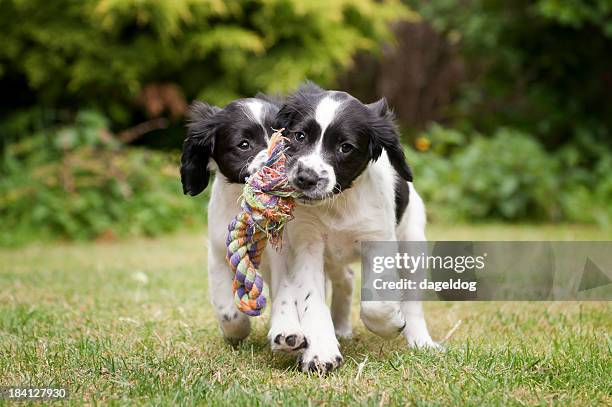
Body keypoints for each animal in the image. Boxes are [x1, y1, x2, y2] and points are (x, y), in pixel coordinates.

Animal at [270, 83, 438, 372]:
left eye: (345, 147)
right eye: (299, 135)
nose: (305, 178)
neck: (338, 203)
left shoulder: (378, 241)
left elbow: (374, 301)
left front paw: (391, 322)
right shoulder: (307, 243)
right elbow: (312, 300)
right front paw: (322, 352)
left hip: (413, 242)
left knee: (413, 301)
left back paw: (420, 341)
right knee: (346, 278)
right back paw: (340, 328)